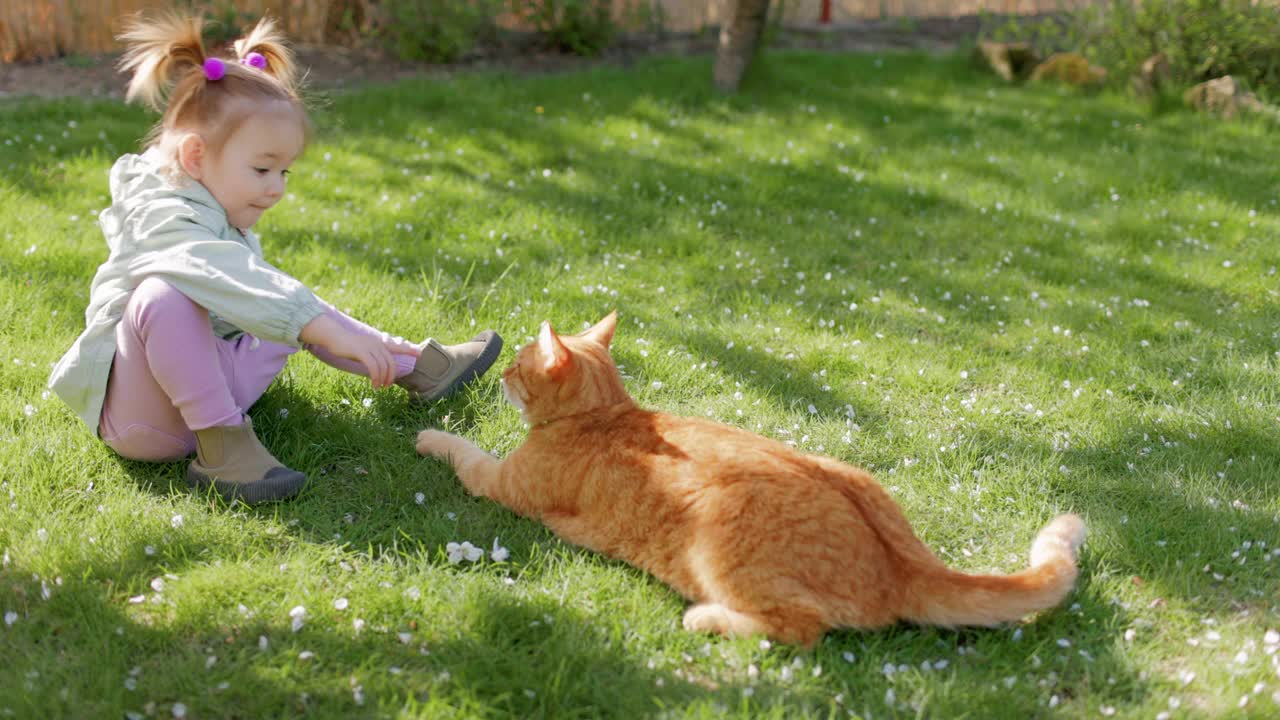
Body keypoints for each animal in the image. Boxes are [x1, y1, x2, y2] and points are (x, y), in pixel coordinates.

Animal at [414, 311, 1085, 640]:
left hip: (722, 533)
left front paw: (431, 437)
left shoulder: (500, 483)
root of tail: (903, 562)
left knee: (801, 631)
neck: (606, 413)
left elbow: (464, 450)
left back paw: (706, 619)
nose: (503, 375)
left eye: (519, 365)